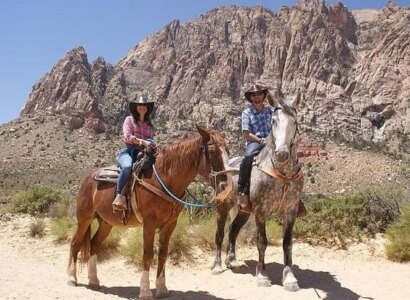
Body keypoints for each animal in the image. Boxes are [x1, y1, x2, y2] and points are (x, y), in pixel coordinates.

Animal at [65, 125, 229, 298]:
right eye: (212, 150)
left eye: (227, 149)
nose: (225, 185)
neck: (165, 179)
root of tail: (87, 179)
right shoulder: (149, 223)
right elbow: (148, 254)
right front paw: (145, 291)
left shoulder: (170, 224)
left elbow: (163, 253)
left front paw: (162, 288)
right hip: (84, 218)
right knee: (75, 242)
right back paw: (71, 278)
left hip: (106, 223)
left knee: (94, 245)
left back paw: (94, 281)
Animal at [213, 91, 302, 290]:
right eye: (273, 121)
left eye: (294, 121)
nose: (282, 154)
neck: (282, 175)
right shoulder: (261, 211)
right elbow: (262, 242)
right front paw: (262, 275)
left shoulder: (290, 212)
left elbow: (287, 244)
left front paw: (289, 277)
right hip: (223, 206)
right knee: (220, 233)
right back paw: (217, 265)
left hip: (244, 210)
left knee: (233, 229)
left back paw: (232, 260)